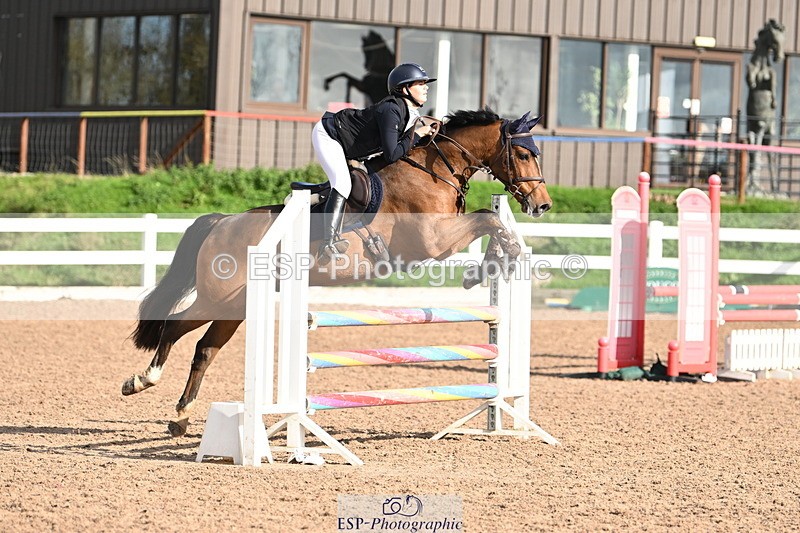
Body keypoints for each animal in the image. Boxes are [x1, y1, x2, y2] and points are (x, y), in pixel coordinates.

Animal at [122, 108, 553, 437]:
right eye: (523, 154)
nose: (543, 205)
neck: (433, 170)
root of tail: (222, 222)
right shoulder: (432, 240)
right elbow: (487, 219)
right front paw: (490, 264)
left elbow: (490, 222)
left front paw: (494, 262)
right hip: (220, 297)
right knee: (174, 327)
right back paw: (141, 381)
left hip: (237, 305)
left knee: (204, 348)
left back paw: (180, 416)